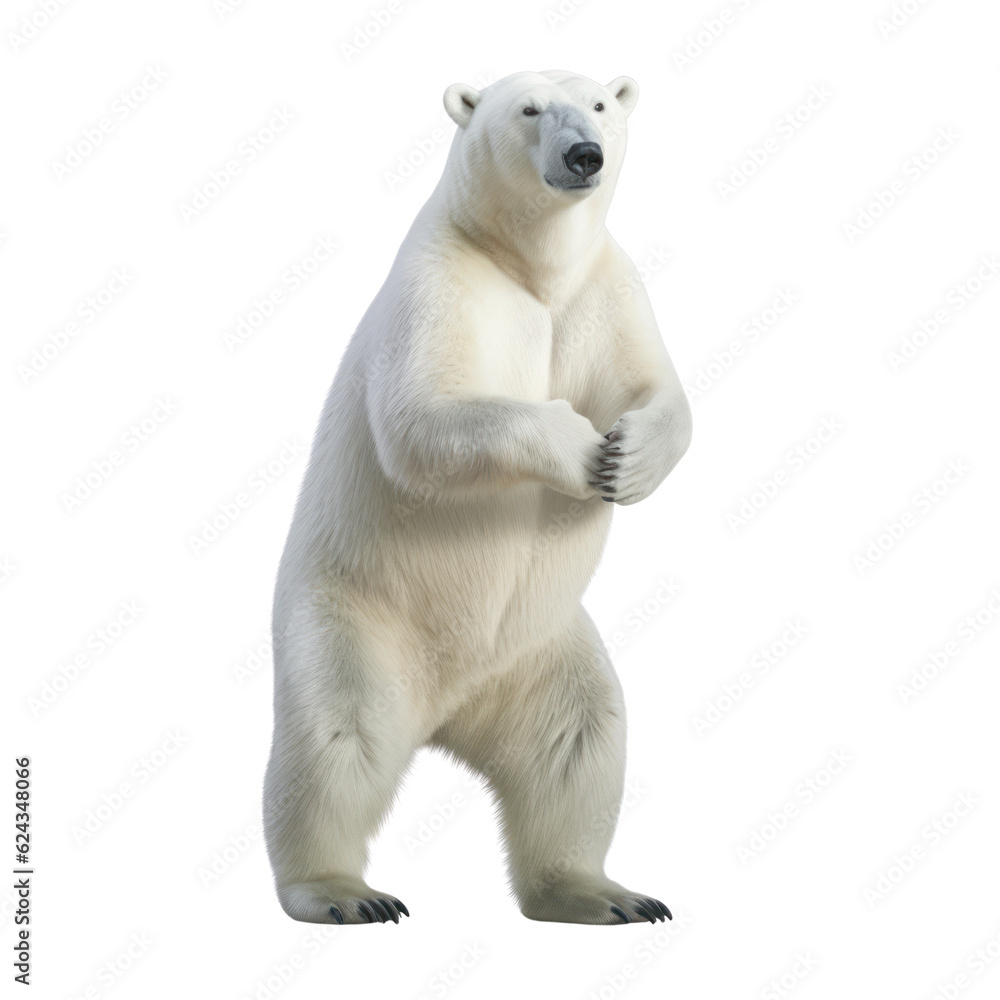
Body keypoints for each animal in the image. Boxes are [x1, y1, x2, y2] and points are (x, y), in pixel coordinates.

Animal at [263, 69, 692, 926]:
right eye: (529, 109)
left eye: (599, 104)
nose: (584, 154)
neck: (531, 266)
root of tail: (445, 710)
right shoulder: (442, 281)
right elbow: (426, 418)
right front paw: (580, 446)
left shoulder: (608, 288)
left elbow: (657, 386)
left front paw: (628, 459)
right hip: (350, 619)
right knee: (335, 737)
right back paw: (342, 893)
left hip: (541, 649)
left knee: (579, 736)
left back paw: (604, 893)